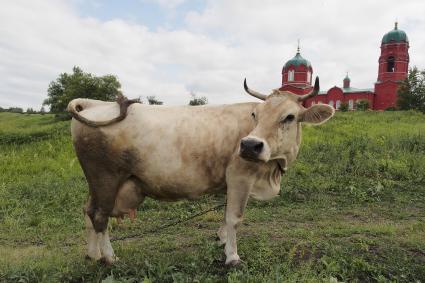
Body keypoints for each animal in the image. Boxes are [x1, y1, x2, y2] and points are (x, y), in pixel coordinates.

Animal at [67, 77, 332, 266]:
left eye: (290, 117)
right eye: (255, 114)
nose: (249, 145)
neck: (272, 171)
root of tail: (96, 104)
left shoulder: (231, 183)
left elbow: (225, 214)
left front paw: (222, 240)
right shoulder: (240, 176)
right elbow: (234, 217)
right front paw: (232, 257)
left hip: (97, 183)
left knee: (88, 210)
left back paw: (92, 254)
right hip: (106, 179)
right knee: (100, 216)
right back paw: (109, 257)